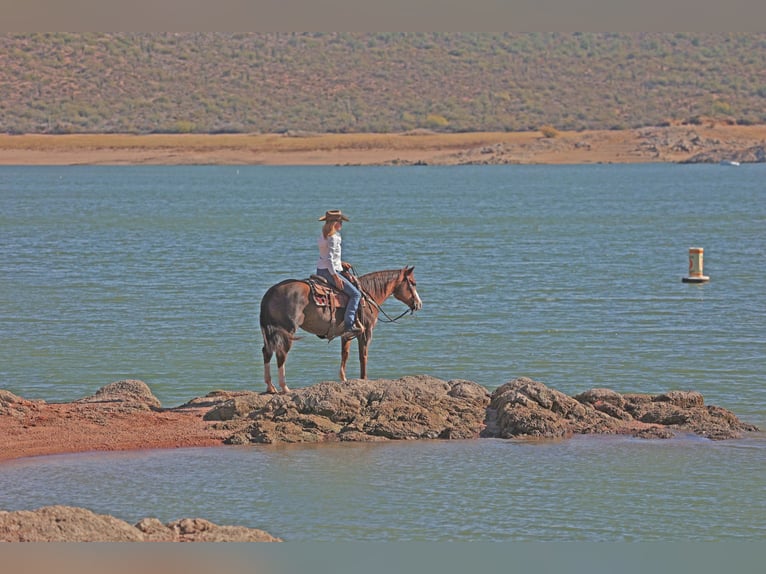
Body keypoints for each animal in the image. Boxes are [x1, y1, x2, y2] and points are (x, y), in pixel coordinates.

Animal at [260, 266, 424, 394]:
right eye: (413, 283)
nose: (419, 304)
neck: (368, 295)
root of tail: (270, 292)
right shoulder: (366, 332)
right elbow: (363, 356)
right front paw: (364, 379)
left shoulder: (347, 334)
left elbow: (345, 354)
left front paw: (344, 379)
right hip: (287, 331)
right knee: (281, 354)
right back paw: (285, 387)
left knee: (267, 351)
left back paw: (270, 386)